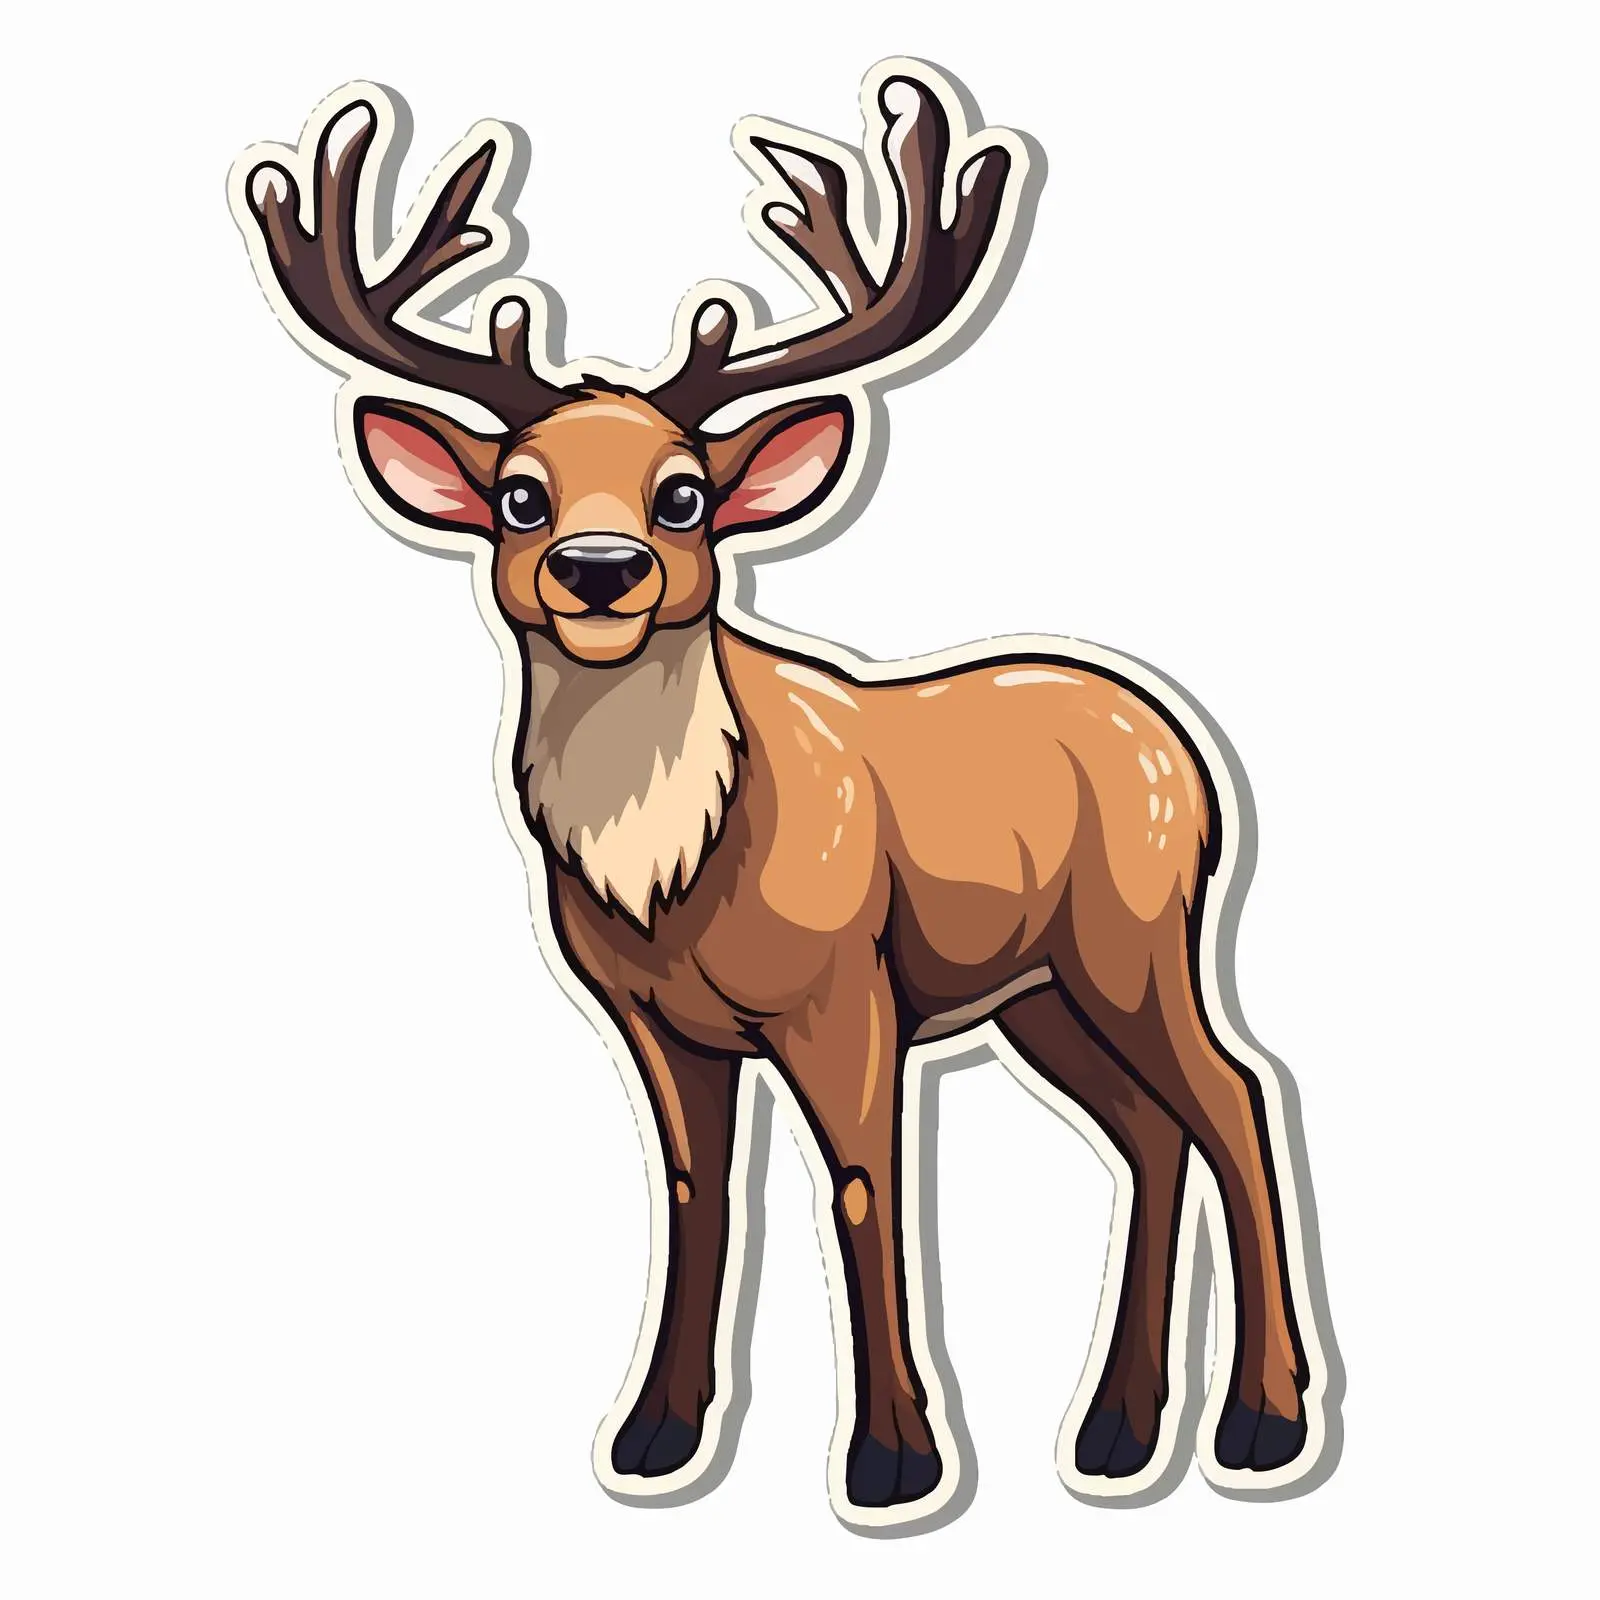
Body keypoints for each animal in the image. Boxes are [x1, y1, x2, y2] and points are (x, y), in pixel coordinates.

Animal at [232, 62, 1317, 1517]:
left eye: (685, 494)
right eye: (519, 495)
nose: (598, 569)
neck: (672, 875)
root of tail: (1182, 750)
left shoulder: (846, 992)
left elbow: (861, 1189)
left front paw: (893, 1460)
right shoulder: (655, 1019)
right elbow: (696, 1195)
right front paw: (655, 1436)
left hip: (1132, 939)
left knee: (1236, 1099)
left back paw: (1261, 1424)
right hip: (1037, 993)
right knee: (1150, 1132)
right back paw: (1113, 1433)